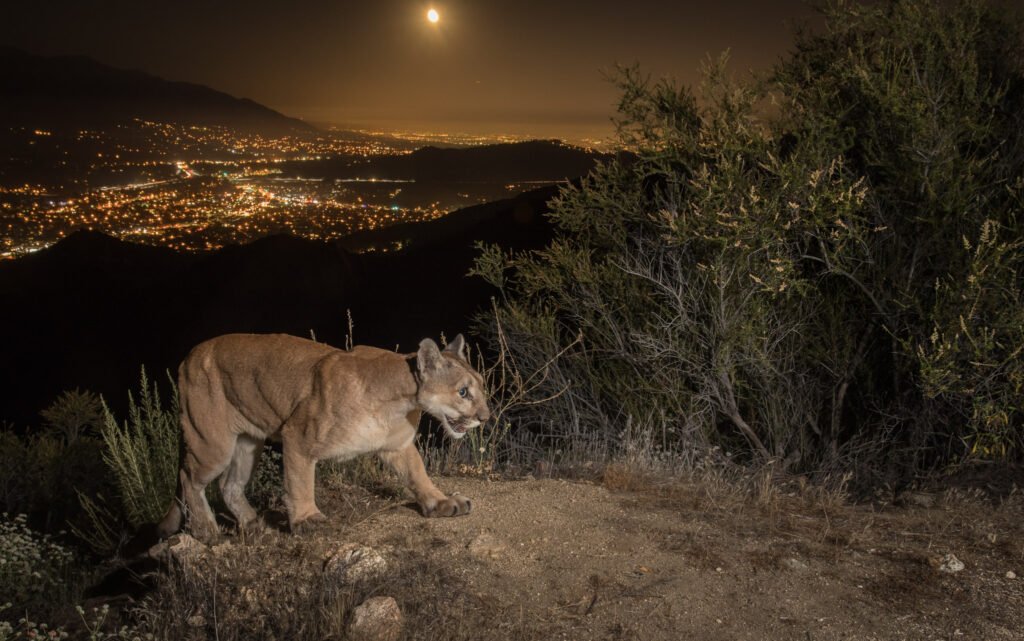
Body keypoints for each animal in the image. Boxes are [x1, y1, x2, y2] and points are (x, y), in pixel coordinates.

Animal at [157, 332, 490, 542]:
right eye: (463, 391)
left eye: (482, 386)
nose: (485, 417)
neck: (400, 400)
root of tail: (189, 356)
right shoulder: (298, 436)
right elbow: (300, 481)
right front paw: (308, 519)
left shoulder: (396, 445)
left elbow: (418, 474)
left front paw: (441, 502)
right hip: (212, 442)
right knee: (189, 478)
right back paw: (206, 530)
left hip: (248, 443)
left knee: (229, 486)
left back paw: (254, 525)